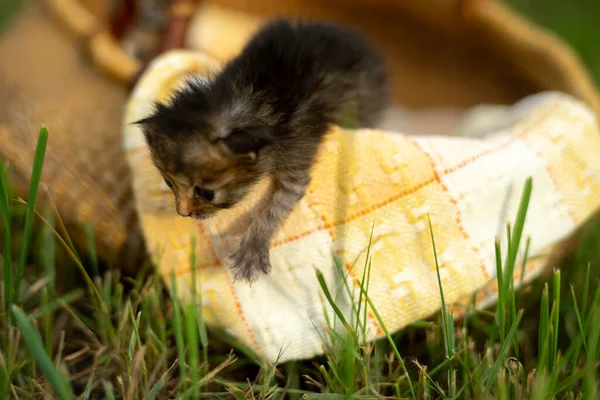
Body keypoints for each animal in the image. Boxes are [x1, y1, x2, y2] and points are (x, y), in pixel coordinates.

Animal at [136, 18, 390, 282]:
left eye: (206, 193)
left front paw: (252, 250)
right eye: (168, 183)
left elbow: (276, 208)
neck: (255, 98)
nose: (183, 213)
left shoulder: (297, 150)